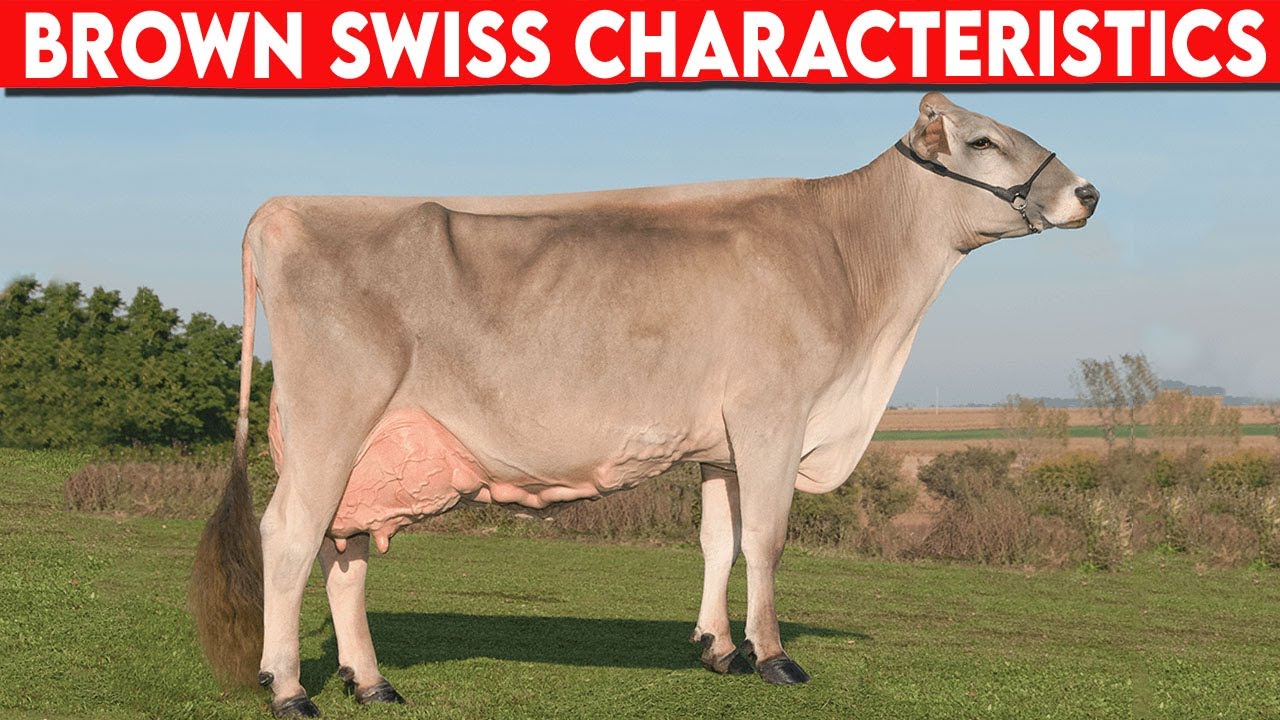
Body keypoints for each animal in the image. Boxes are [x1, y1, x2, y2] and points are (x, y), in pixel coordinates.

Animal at [191, 92, 1099, 717]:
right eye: (983, 140)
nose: (1087, 192)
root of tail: (283, 209)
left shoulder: (723, 442)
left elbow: (718, 541)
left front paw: (719, 648)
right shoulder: (773, 416)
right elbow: (767, 540)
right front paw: (775, 657)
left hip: (372, 449)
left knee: (343, 550)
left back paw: (370, 681)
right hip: (329, 421)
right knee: (289, 536)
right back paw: (288, 688)